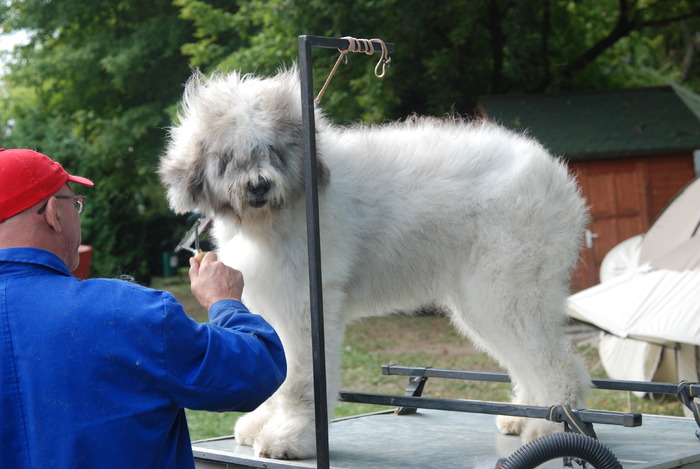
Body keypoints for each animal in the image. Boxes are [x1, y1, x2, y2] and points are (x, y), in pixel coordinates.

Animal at [160, 67, 592, 458]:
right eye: (229, 157)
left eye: (273, 150)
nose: (259, 186)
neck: (284, 211)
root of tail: (557, 175)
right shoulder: (269, 305)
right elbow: (272, 373)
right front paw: (260, 424)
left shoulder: (306, 308)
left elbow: (299, 381)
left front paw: (290, 437)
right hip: (486, 304)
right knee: (528, 360)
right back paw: (521, 417)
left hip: (506, 292)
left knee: (558, 366)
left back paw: (550, 424)